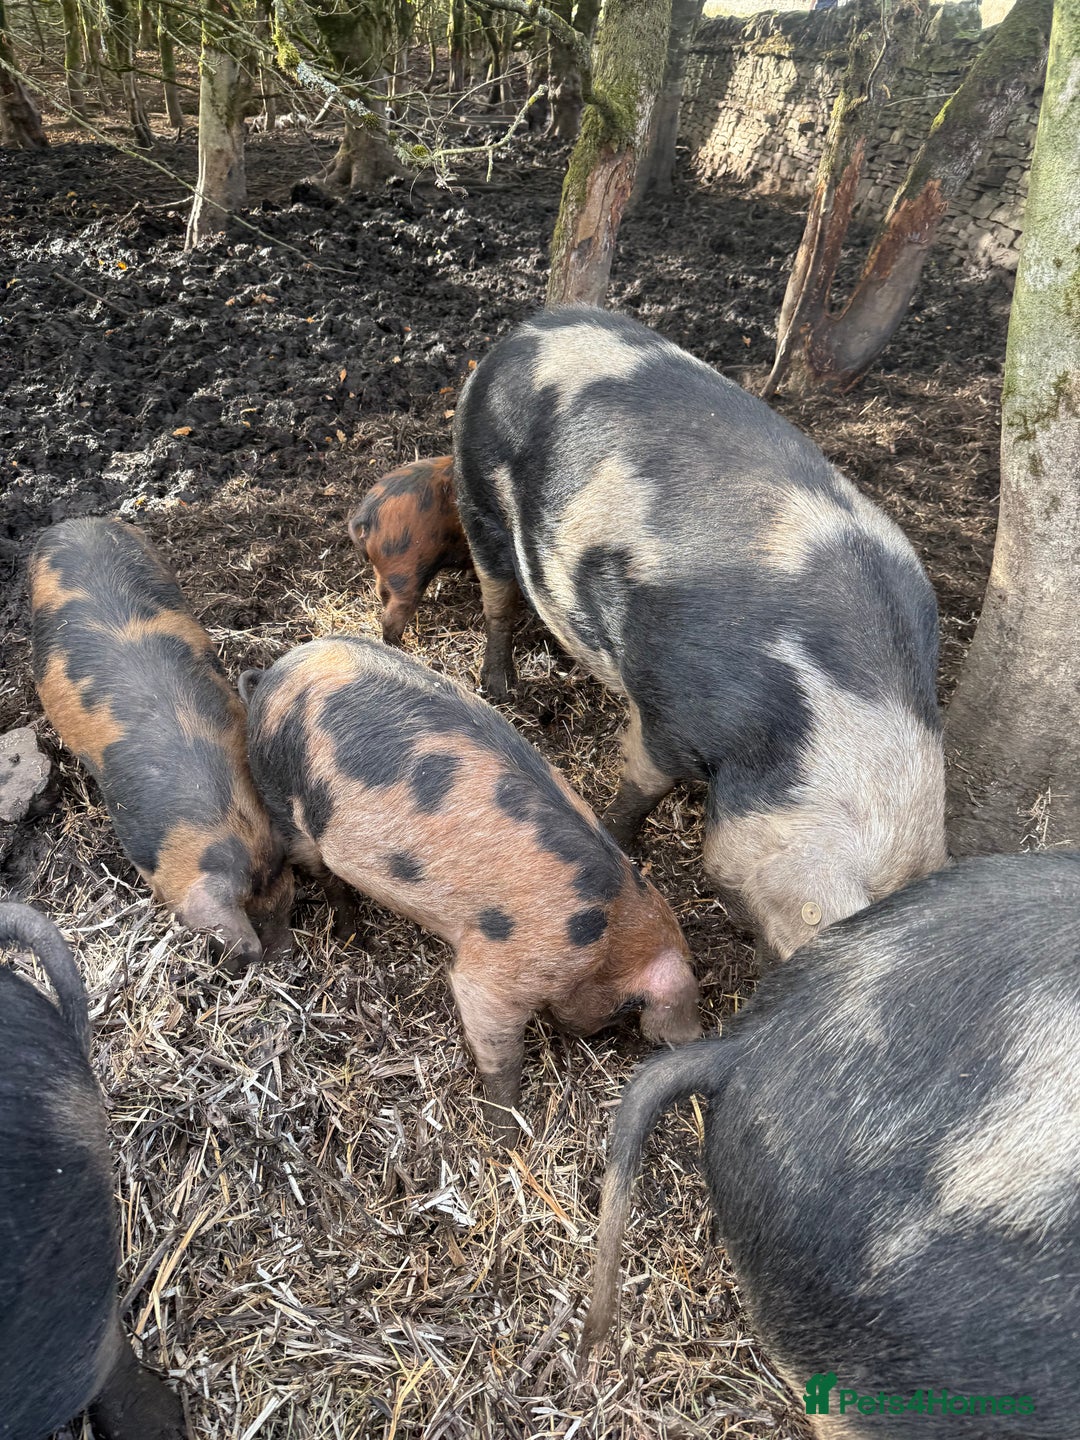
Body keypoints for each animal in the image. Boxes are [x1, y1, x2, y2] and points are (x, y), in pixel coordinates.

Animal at [241, 635, 700, 1140]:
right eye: (627, 1006)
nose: (589, 1034)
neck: (608, 932)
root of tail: (271, 674)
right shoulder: (500, 971)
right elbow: (494, 1040)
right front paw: (507, 1133)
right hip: (281, 796)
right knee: (322, 873)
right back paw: (351, 936)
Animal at [347, 455, 472, 645]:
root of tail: (368, 514)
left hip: (386, 569)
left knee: (382, 592)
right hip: (408, 571)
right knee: (392, 618)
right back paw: (400, 645)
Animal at [452, 306, 947, 961]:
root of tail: (529, 330)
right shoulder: (669, 712)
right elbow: (642, 783)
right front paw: (616, 839)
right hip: (477, 490)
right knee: (498, 595)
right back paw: (500, 689)